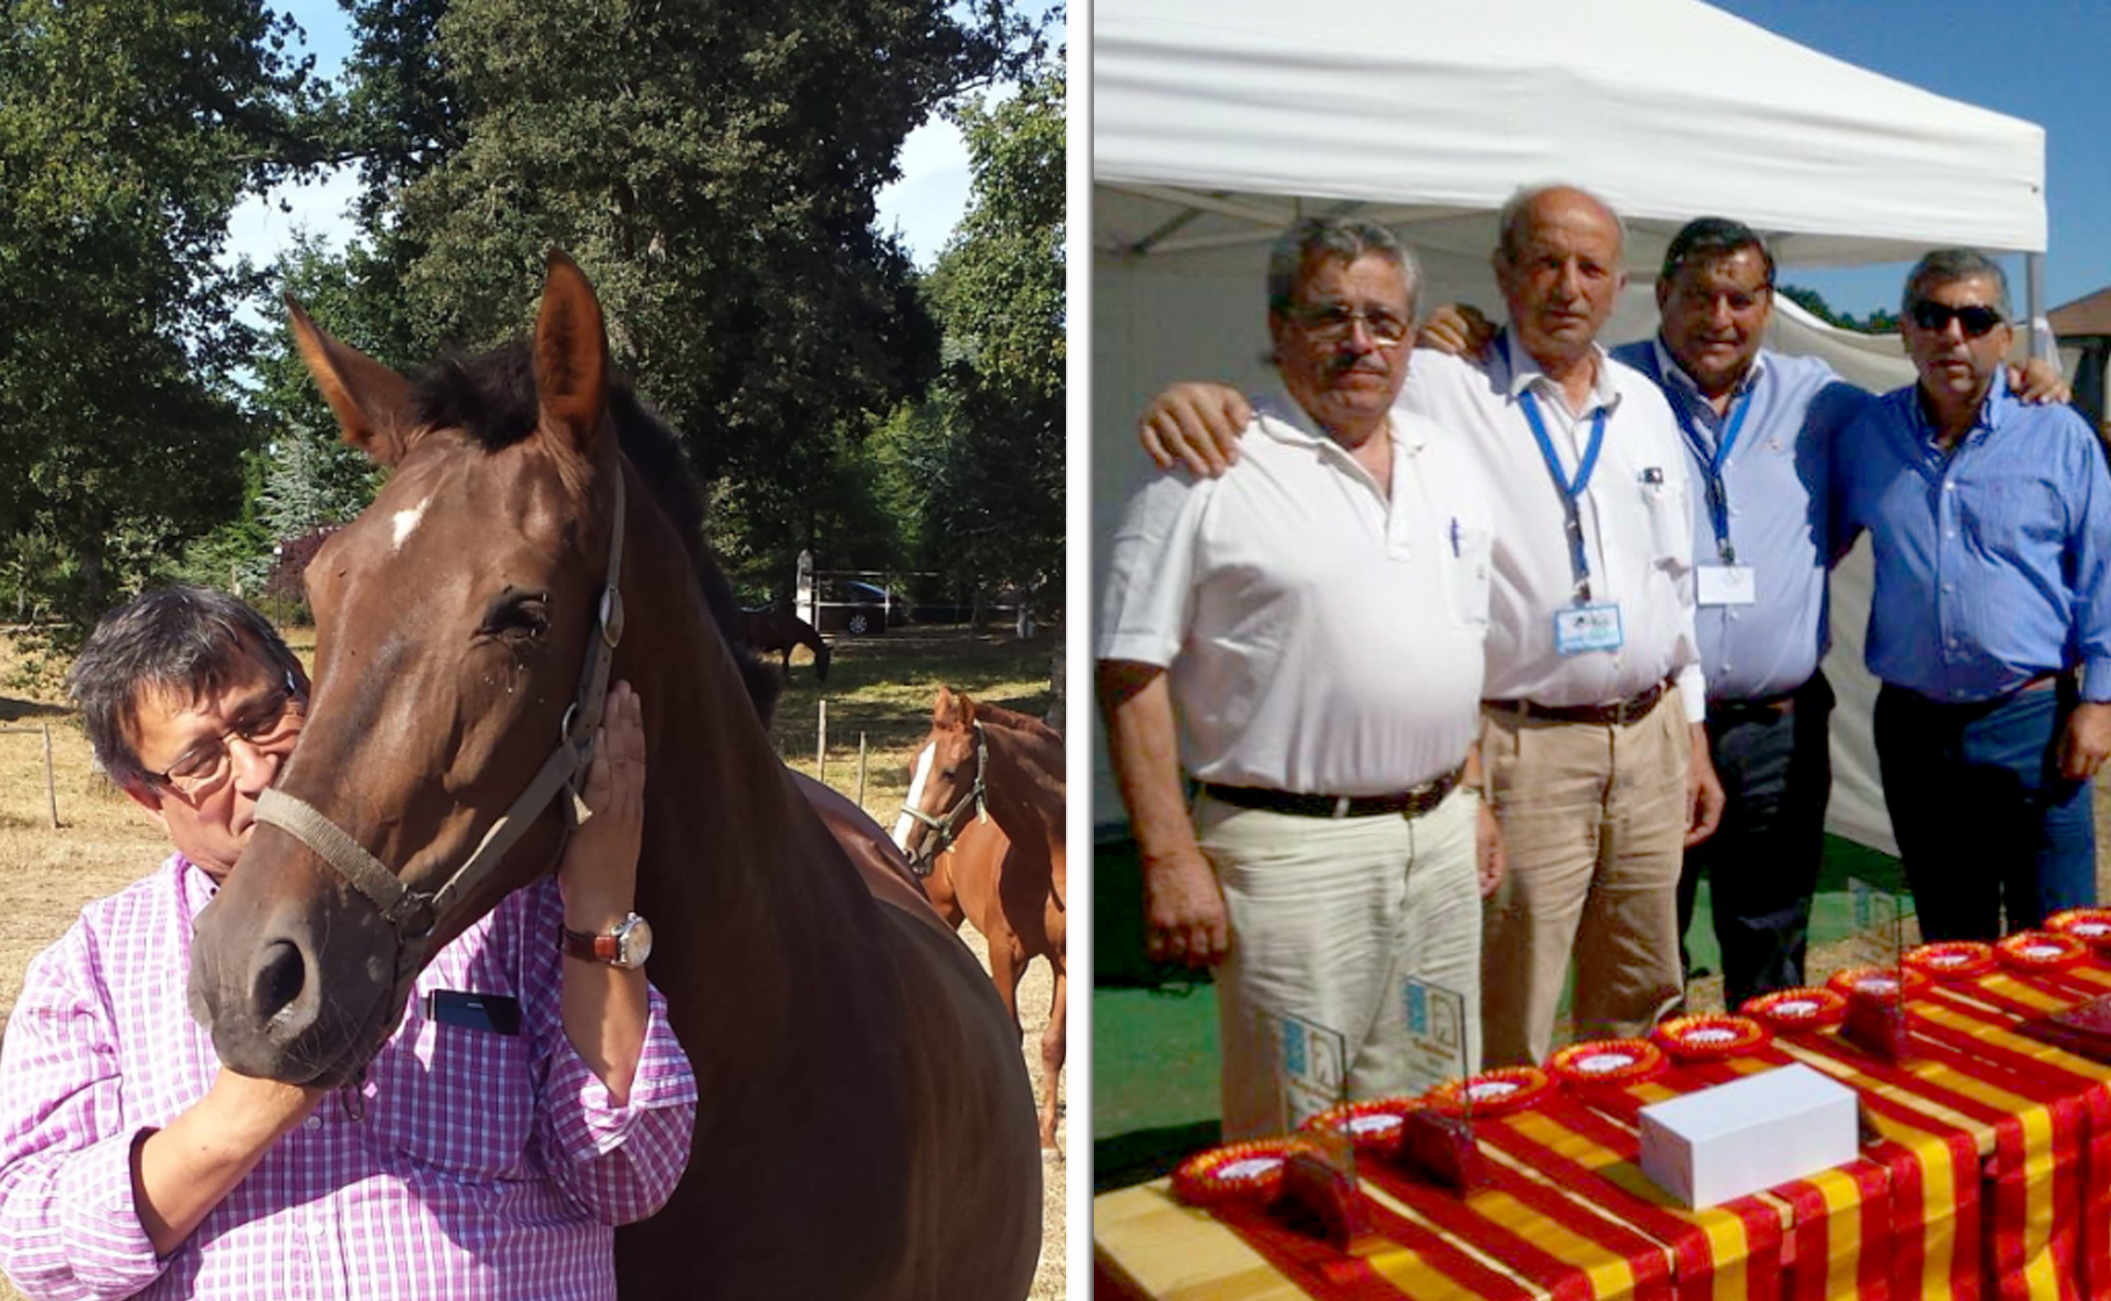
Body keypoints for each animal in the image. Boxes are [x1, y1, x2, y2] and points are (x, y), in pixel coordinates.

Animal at [890, 680, 1063, 1148]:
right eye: (912, 766)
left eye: (950, 771)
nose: (904, 848)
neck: (1046, 857)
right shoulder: (1006, 951)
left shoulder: (1063, 962)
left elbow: (1053, 1044)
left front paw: (1047, 1137)